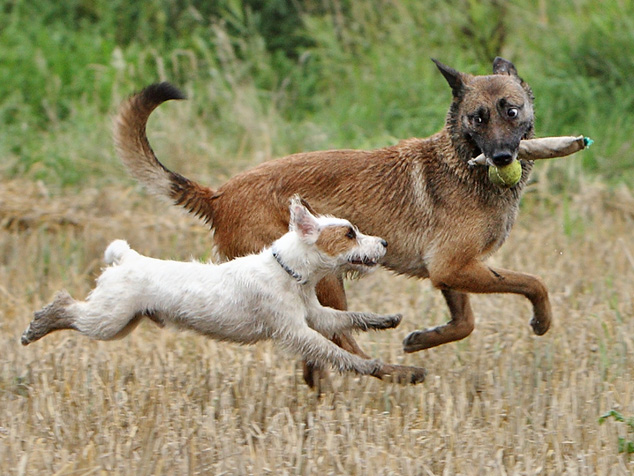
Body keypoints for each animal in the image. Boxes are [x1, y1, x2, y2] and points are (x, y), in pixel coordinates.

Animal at [22, 199, 424, 384]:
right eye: (349, 233)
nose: (384, 243)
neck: (288, 272)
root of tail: (127, 258)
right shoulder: (296, 331)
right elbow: (334, 351)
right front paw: (368, 364)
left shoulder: (315, 314)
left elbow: (348, 317)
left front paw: (386, 319)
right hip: (107, 320)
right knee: (65, 307)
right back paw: (36, 326)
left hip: (124, 323)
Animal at [113, 58, 548, 386]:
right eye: (478, 118)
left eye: (511, 111)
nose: (502, 158)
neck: (460, 164)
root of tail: (218, 197)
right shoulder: (453, 266)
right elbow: (532, 283)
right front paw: (542, 321)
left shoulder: (450, 271)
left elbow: (465, 322)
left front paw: (422, 338)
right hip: (328, 280)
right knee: (342, 342)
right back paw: (396, 373)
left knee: (320, 355)